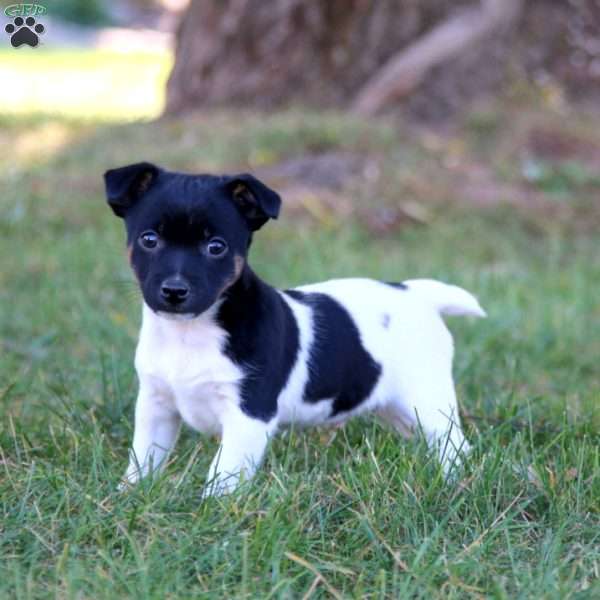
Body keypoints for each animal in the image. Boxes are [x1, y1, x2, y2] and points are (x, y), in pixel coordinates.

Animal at [104, 162, 488, 494]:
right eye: (149, 240)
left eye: (216, 247)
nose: (174, 291)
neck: (191, 332)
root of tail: (413, 291)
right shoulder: (156, 406)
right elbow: (142, 460)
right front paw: (127, 496)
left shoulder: (248, 415)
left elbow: (222, 475)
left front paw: (211, 512)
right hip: (397, 409)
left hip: (427, 399)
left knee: (454, 446)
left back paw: (453, 483)